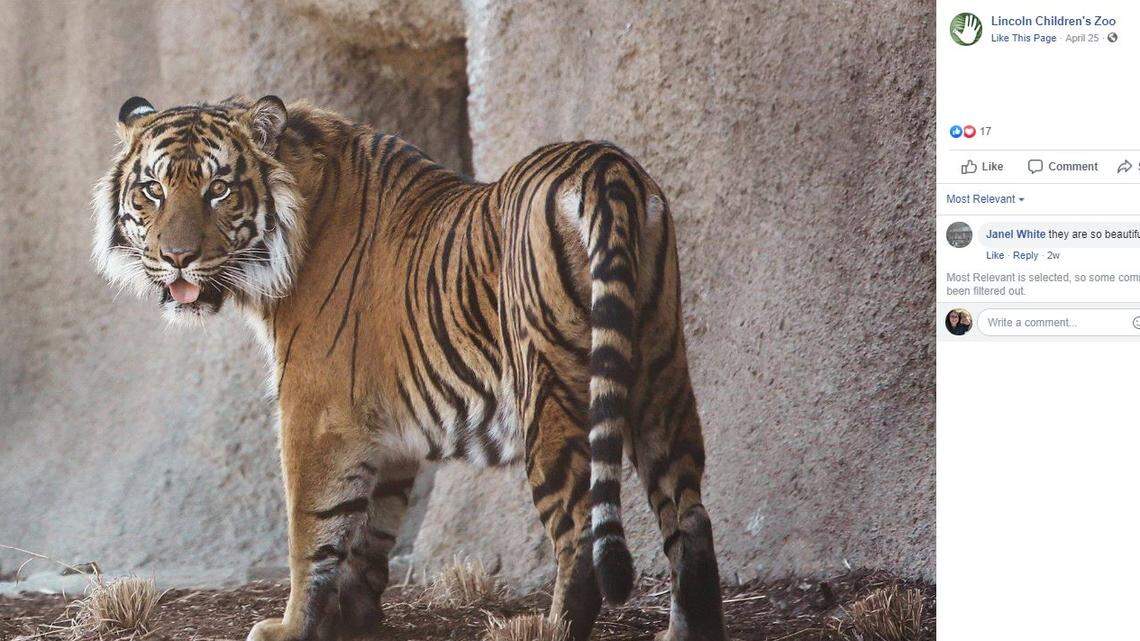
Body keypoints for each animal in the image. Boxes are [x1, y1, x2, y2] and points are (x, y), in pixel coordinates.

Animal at [92, 95, 727, 641]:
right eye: (153, 189)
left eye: (218, 189)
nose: (177, 258)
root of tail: (605, 166)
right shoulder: (385, 430)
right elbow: (369, 528)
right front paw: (354, 620)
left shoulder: (315, 412)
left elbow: (310, 529)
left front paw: (292, 627)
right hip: (660, 374)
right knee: (691, 522)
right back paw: (684, 632)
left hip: (552, 393)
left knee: (578, 538)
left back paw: (547, 629)